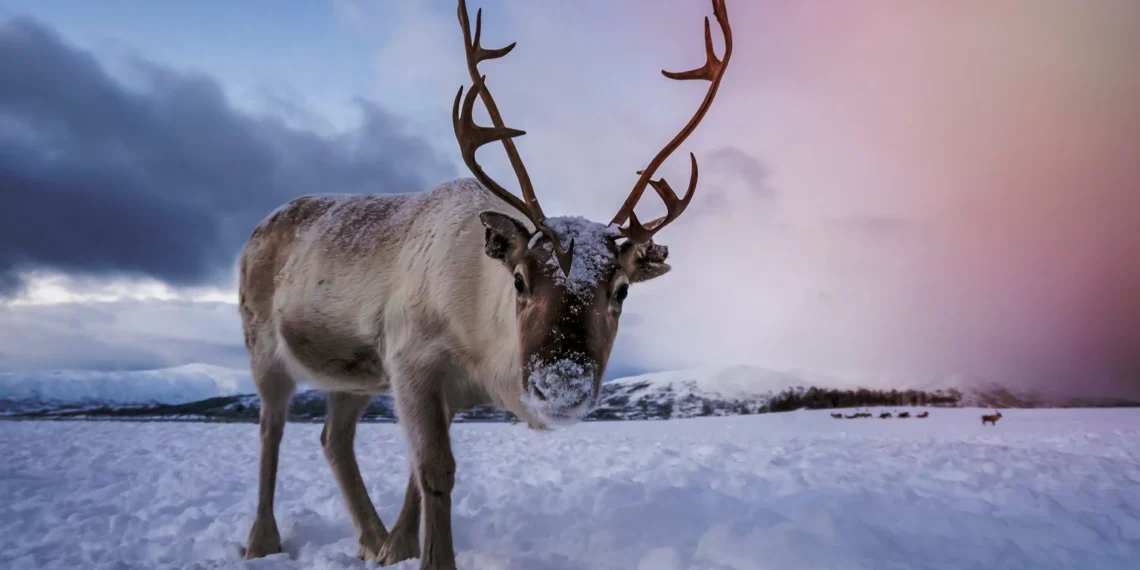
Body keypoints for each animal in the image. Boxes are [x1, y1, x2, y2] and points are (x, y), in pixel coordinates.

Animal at [235, 1, 734, 568]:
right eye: (519, 280)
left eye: (622, 290)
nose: (561, 386)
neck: (481, 349)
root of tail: (260, 227)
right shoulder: (410, 362)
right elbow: (435, 472)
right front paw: (429, 556)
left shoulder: (439, 390)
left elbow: (416, 475)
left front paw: (400, 547)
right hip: (263, 346)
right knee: (271, 429)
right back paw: (262, 540)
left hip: (353, 375)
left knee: (332, 439)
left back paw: (371, 539)